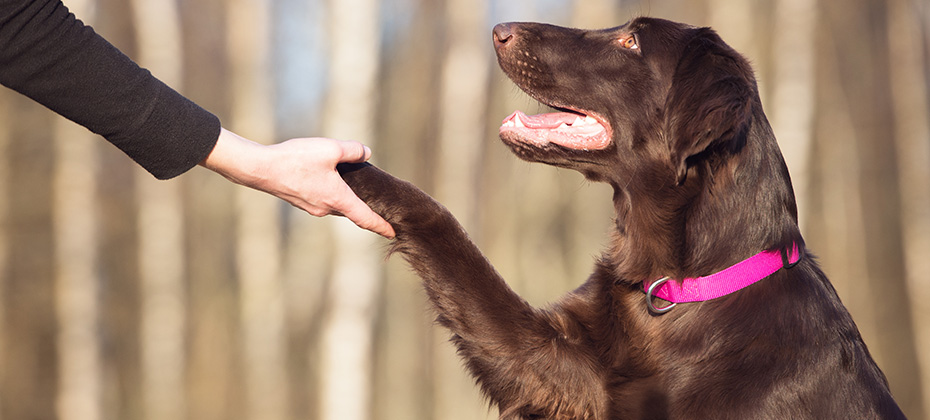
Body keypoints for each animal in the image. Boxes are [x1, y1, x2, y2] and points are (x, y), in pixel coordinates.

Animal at [338, 16, 904, 420]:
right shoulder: (558, 368)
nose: (499, 30)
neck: (676, 288)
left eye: (630, 43)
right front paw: (345, 166)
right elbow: (446, 236)